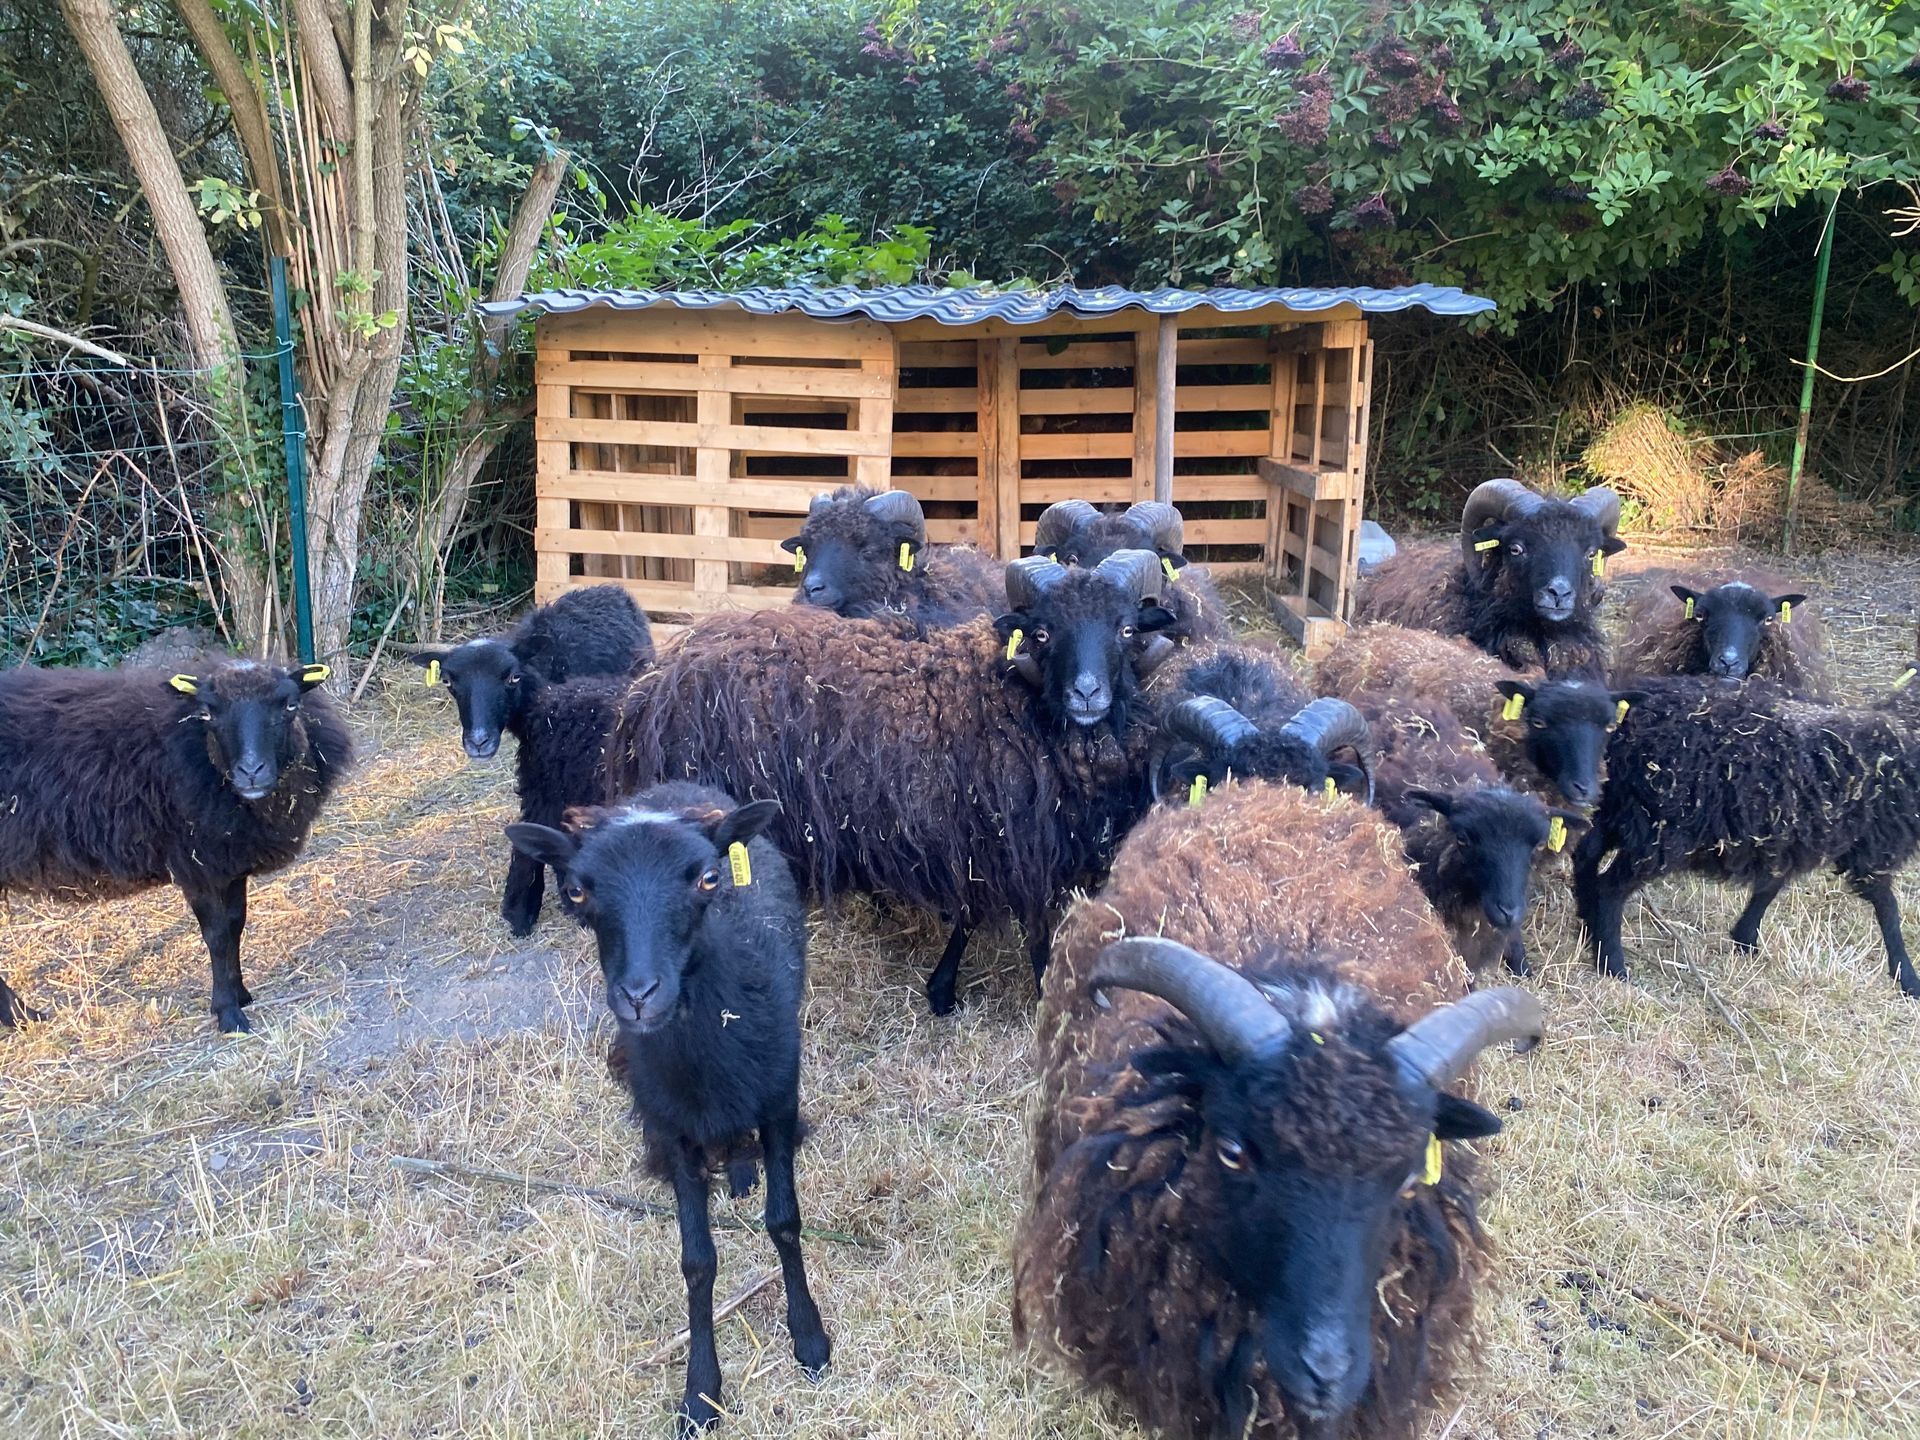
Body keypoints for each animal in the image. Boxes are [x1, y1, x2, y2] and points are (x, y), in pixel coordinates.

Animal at [0, 659, 352, 1032]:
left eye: (290, 705)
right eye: (208, 713)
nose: (251, 772)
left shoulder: (228, 862)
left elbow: (236, 924)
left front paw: (240, 993)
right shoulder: (194, 864)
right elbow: (217, 935)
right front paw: (229, 1014)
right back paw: (23, 1016)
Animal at [412, 584, 654, 934]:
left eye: (511, 677)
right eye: (448, 681)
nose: (479, 741)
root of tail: (608, 588)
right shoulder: (539, 760)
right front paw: (523, 909)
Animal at [505, 783, 829, 1433]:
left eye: (708, 878)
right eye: (577, 890)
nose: (638, 996)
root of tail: (674, 787)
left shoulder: (780, 1100)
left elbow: (784, 1223)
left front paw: (809, 1338)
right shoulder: (673, 1128)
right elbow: (697, 1261)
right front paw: (701, 1393)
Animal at [609, 550, 1177, 1015]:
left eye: (1127, 629)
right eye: (1042, 632)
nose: (1088, 693)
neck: (1014, 700)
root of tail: (656, 682)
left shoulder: (978, 839)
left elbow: (973, 915)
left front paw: (945, 988)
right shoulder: (1005, 844)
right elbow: (1028, 928)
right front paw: (1023, 991)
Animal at [1572, 647, 1920, 997]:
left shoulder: (1788, 834)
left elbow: (1771, 885)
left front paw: (1745, 939)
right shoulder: (1875, 847)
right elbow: (1888, 909)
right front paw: (1907, 976)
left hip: (1621, 804)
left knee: (1586, 854)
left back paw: (1588, 923)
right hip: (1660, 829)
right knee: (1611, 888)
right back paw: (1613, 965)